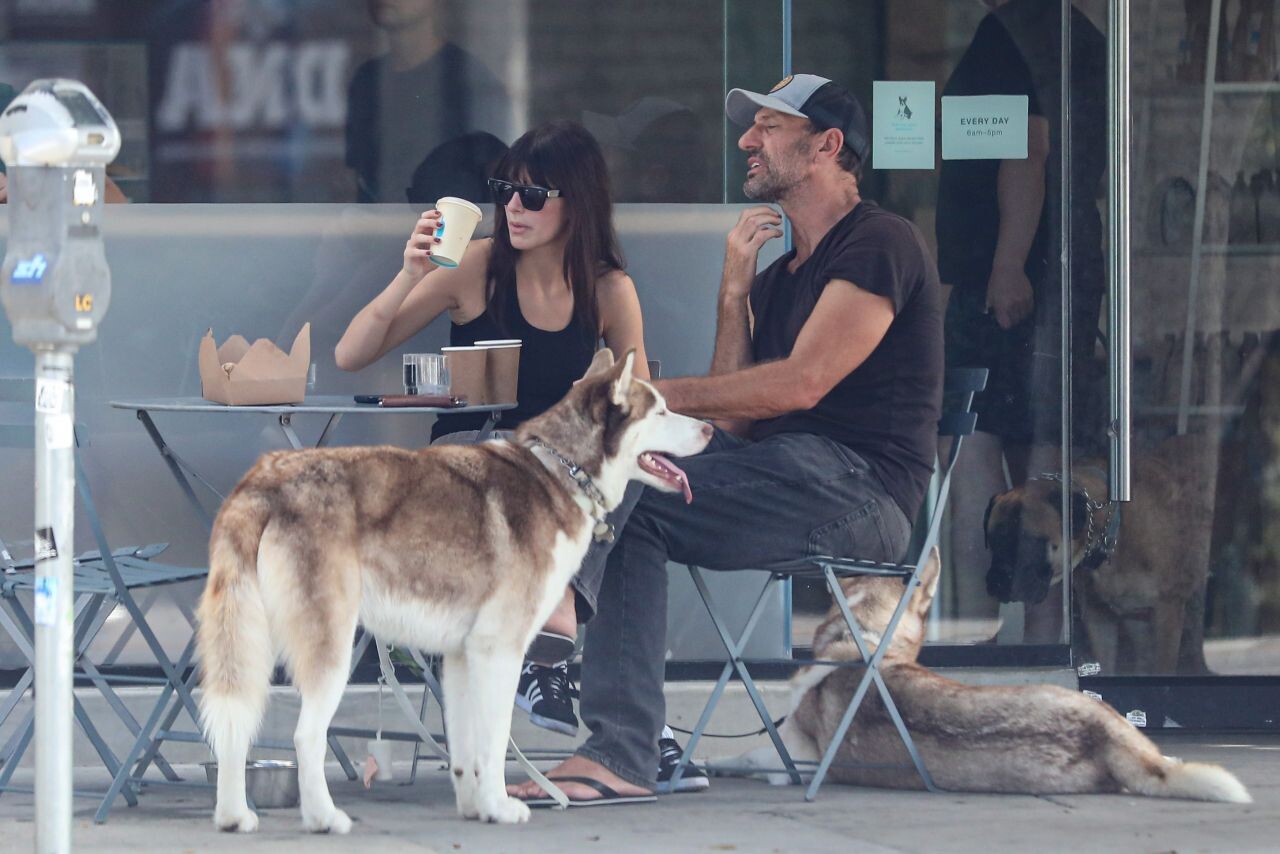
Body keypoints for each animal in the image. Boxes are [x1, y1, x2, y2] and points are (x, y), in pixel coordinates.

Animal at [196, 349, 712, 832]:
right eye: (661, 411)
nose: (709, 428)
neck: (560, 472)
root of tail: (264, 480)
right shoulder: (499, 652)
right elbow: (494, 742)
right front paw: (500, 807)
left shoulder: (463, 658)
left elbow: (466, 751)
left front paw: (476, 809)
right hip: (332, 648)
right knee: (306, 737)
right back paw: (325, 818)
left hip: (252, 644)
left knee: (235, 729)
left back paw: (233, 816)